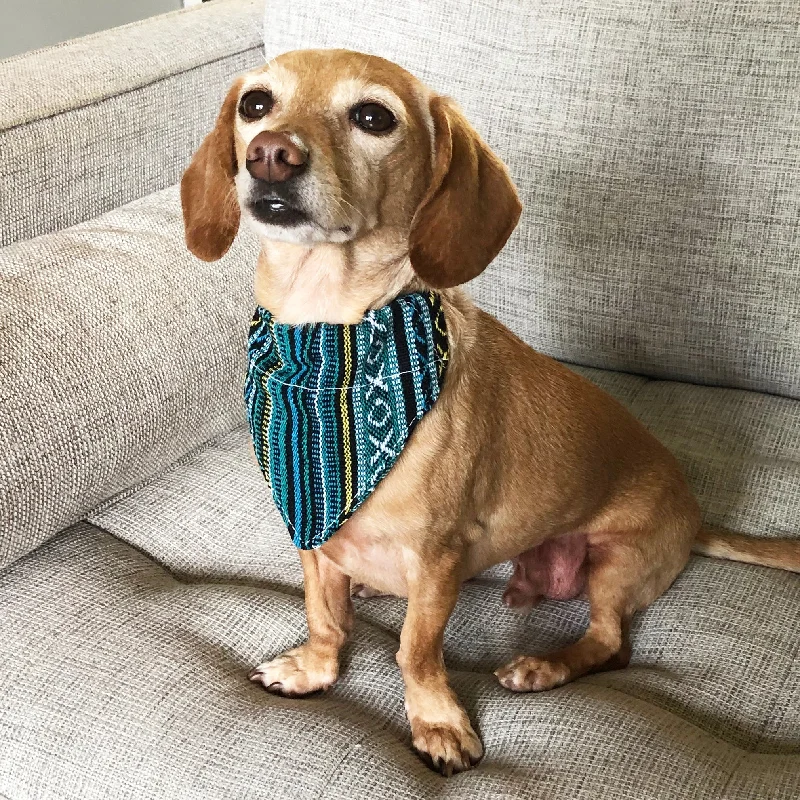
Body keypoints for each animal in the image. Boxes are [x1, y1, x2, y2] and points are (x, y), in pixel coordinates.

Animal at [181, 48, 800, 776]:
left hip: (616, 561)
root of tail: (696, 518)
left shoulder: (438, 558)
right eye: (256, 105)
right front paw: (316, 668)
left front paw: (437, 721)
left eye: (372, 117)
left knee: (611, 642)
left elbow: (416, 650)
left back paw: (543, 667)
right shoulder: (313, 533)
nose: (270, 155)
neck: (332, 339)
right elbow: (323, 616)